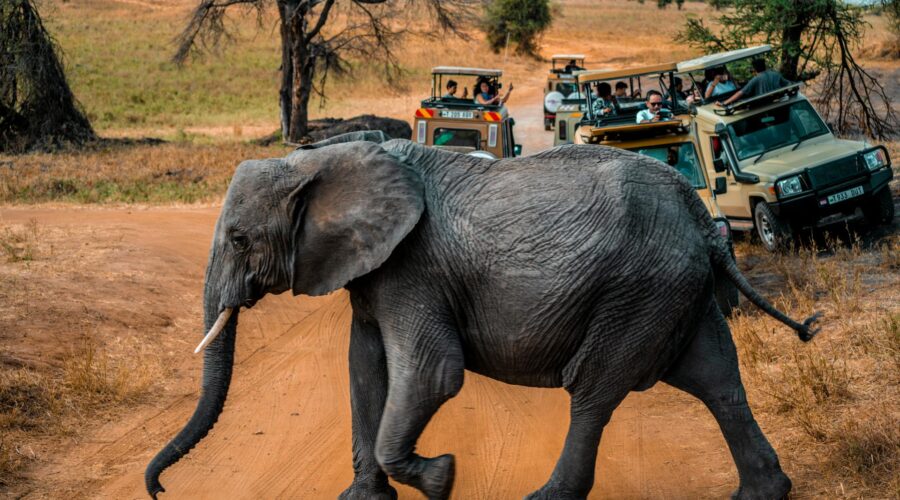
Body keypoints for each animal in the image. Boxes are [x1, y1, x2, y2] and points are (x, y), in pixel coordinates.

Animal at [146, 132, 816, 500]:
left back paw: (544, 497)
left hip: (638, 289)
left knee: (594, 389)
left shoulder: (413, 266)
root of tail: (699, 213)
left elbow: (431, 373)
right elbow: (364, 370)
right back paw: (761, 494)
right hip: (676, 287)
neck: (324, 160)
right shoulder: (373, 269)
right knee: (718, 381)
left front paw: (441, 479)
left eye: (238, 239)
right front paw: (361, 498)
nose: (157, 488)